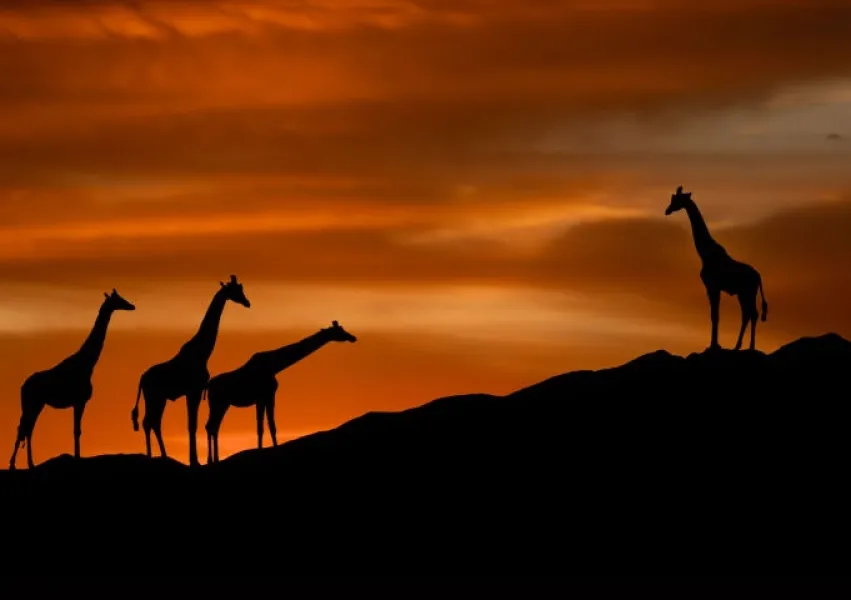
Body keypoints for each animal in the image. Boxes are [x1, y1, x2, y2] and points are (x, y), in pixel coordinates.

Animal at [9, 289, 136, 470]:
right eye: (119, 299)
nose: (132, 306)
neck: (88, 363)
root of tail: (23, 386)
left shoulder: (78, 402)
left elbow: (77, 430)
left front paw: (77, 456)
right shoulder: (80, 401)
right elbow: (77, 431)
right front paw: (77, 458)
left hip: (37, 404)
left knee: (27, 429)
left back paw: (26, 463)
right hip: (32, 403)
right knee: (24, 428)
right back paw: (18, 463)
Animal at [131, 275, 250, 466]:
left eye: (241, 288)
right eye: (236, 290)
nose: (247, 302)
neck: (203, 352)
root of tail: (142, 379)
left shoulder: (195, 391)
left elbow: (192, 424)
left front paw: (194, 460)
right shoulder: (193, 390)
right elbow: (191, 425)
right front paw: (194, 461)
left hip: (158, 399)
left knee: (152, 422)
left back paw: (162, 455)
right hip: (155, 397)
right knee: (149, 421)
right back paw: (153, 456)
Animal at [204, 320, 357, 463]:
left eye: (342, 328)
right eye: (339, 331)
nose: (352, 337)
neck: (275, 366)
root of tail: (208, 385)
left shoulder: (265, 397)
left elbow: (269, 426)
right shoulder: (264, 396)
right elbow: (264, 426)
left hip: (222, 404)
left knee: (213, 426)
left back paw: (214, 459)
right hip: (219, 403)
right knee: (211, 426)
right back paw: (211, 460)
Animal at [665, 186, 769, 351]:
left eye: (677, 200)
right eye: (672, 198)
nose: (667, 210)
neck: (705, 254)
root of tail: (759, 277)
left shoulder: (713, 286)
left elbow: (715, 315)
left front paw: (714, 345)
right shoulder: (711, 288)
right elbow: (714, 315)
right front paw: (714, 344)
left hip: (748, 292)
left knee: (753, 313)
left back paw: (750, 347)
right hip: (742, 294)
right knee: (747, 314)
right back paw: (737, 346)